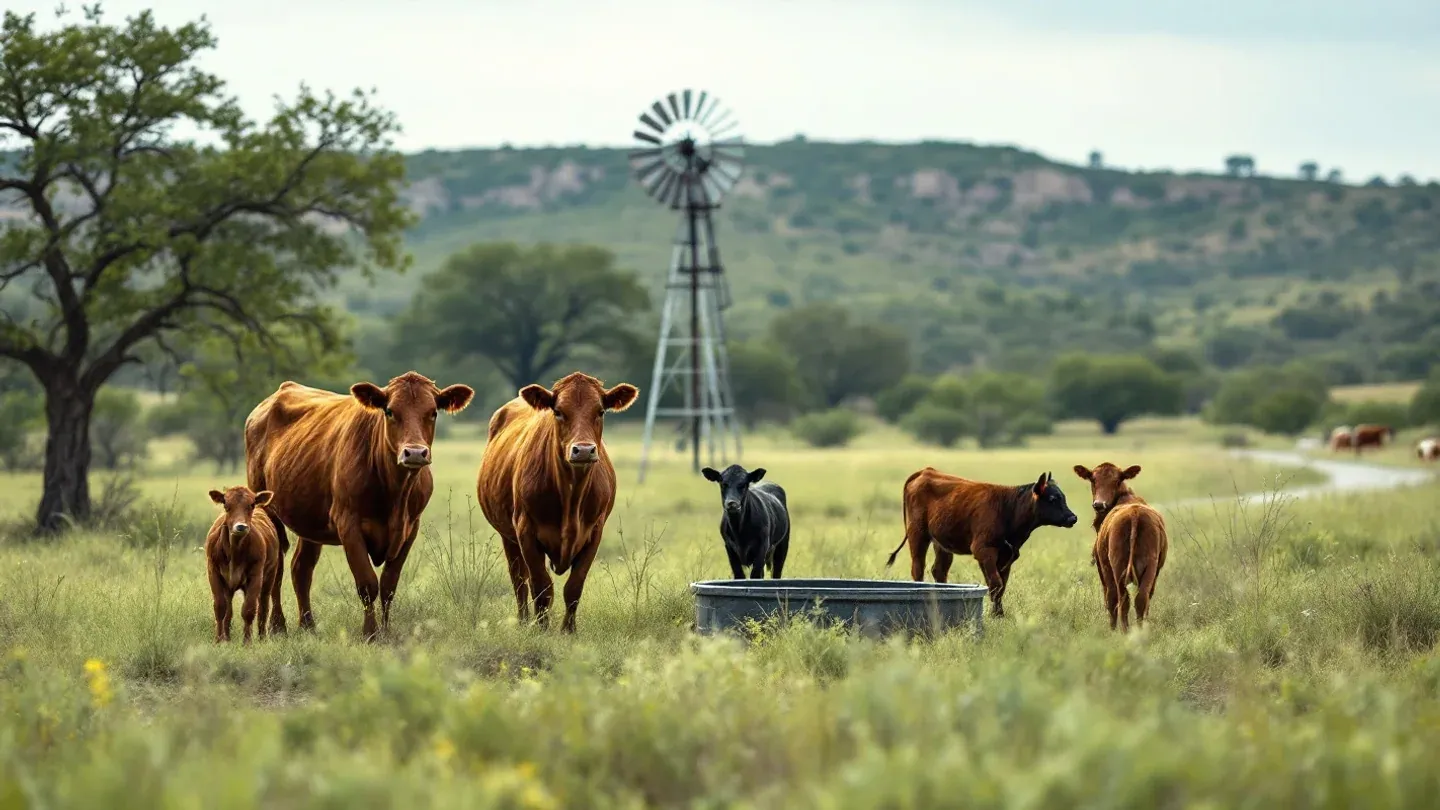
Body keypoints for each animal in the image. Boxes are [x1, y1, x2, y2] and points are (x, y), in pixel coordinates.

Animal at [205, 485, 285, 644]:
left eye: (252, 504)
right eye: (226, 505)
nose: (241, 526)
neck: (234, 552)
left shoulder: (256, 575)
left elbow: (248, 609)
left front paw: (247, 642)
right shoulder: (213, 571)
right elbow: (220, 608)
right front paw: (218, 640)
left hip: (269, 577)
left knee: (263, 606)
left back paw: (262, 638)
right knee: (229, 609)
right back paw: (227, 637)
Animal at [244, 372, 475, 641]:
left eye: (433, 412)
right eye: (390, 411)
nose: (415, 453)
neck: (395, 493)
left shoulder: (411, 528)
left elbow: (388, 585)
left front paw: (386, 631)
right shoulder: (349, 524)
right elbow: (367, 583)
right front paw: (370, 633)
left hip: (310, 521)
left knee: (301, 569)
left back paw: (308, 626)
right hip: (268, 509)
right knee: (277, 571)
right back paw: (278, 626)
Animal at [476, 371, 639, 633]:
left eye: (600, 411)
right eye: (559, 411)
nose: (583, 450)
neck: (571, 495)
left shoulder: (594, 532)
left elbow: (574, 587)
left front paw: (568, 631)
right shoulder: (526, 531)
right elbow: (541, 587)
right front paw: (541, 629)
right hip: (508, 536)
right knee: (519, 580)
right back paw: (524, 621)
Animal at [884, 469, 1078, 618]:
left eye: (1063, 497)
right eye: (1053, 499)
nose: (1073, 518)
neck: (1008, 510)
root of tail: (926, 471)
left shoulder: (1007, 555)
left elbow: (1000, 585)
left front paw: (999, 614)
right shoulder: (983, 549)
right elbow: (995, 583)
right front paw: (996, 614)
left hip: (942, 542)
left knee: (939, 569)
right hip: (917, 534)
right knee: (918, 568)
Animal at [1090, 503, 1168, 632]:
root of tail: (1134, 512)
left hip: (1118, 568)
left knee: (1120, 599)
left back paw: (1124, 631)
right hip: (1150, 567)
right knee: (1141, 598)